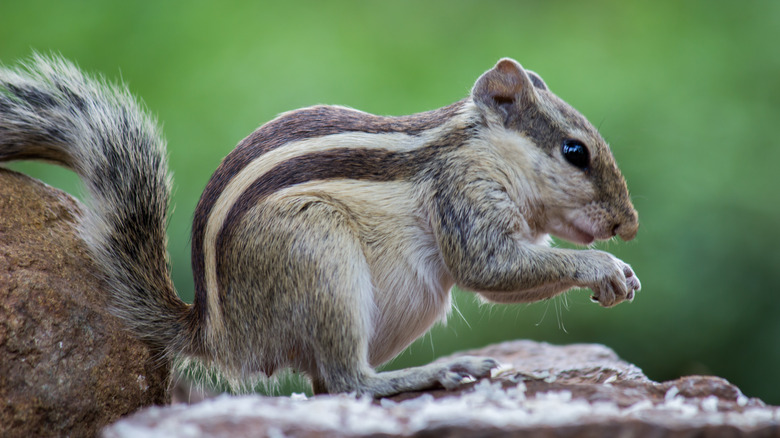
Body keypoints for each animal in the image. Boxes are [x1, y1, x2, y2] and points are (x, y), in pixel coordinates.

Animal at [0, 54, 640, 396]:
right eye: (575, 152)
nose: (628, 225)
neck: (479, 148)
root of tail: (221, 334)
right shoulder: (462, 194)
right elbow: (489, 268)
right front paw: (605, 266)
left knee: (327, 385)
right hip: (318, 251)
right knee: (347, 380)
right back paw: (431, 372)